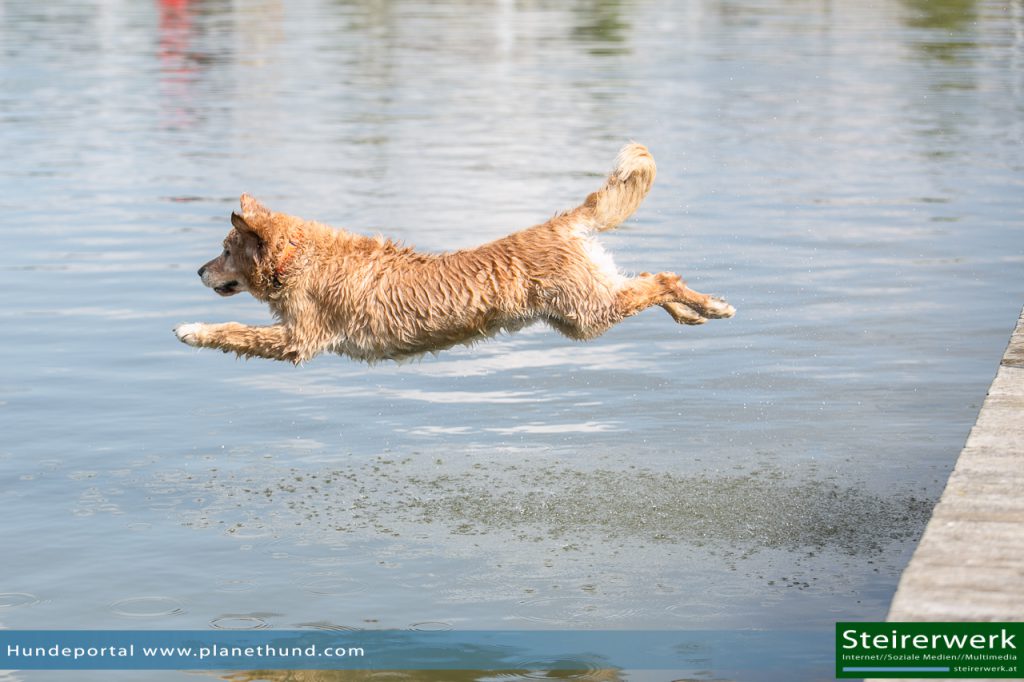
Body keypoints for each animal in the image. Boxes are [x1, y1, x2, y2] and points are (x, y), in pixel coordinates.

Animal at [178, 142, 737, 360]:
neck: (299, 258)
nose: (198, 270)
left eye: (224, 251)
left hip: (588, 311)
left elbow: (235, 331)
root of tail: (559, 225)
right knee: (649, 281)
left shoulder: (298, 339)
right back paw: (693, 314)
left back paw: (710, 306)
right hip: (583, 312)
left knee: (661, 278)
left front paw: (192, 329)